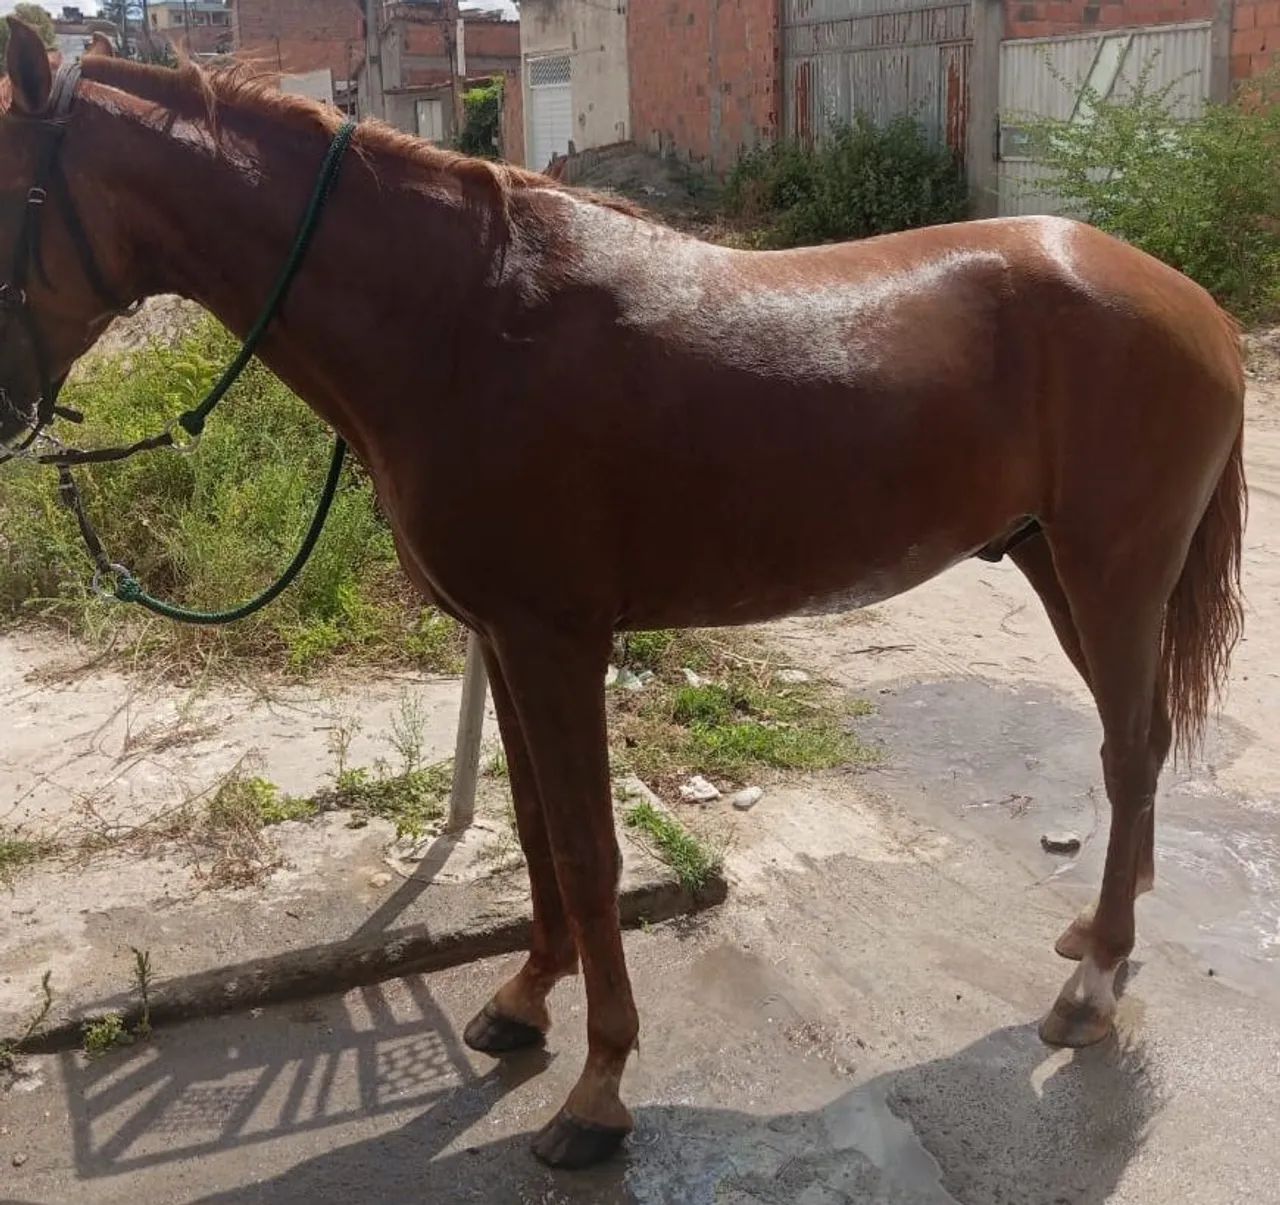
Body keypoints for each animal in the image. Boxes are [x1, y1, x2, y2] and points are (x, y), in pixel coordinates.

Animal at [0, 20, 1245, 1169]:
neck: (458, 318)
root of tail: (1193, 303)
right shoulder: (505, 638)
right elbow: (536, 831)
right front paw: (521, 1001)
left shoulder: (556, 642)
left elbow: (592, 850)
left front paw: (597, 1088)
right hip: (1054, 567)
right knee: (1138, 740)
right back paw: (1097, 934)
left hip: (1111, 572)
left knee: (1127, 751)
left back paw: (1090, 986)